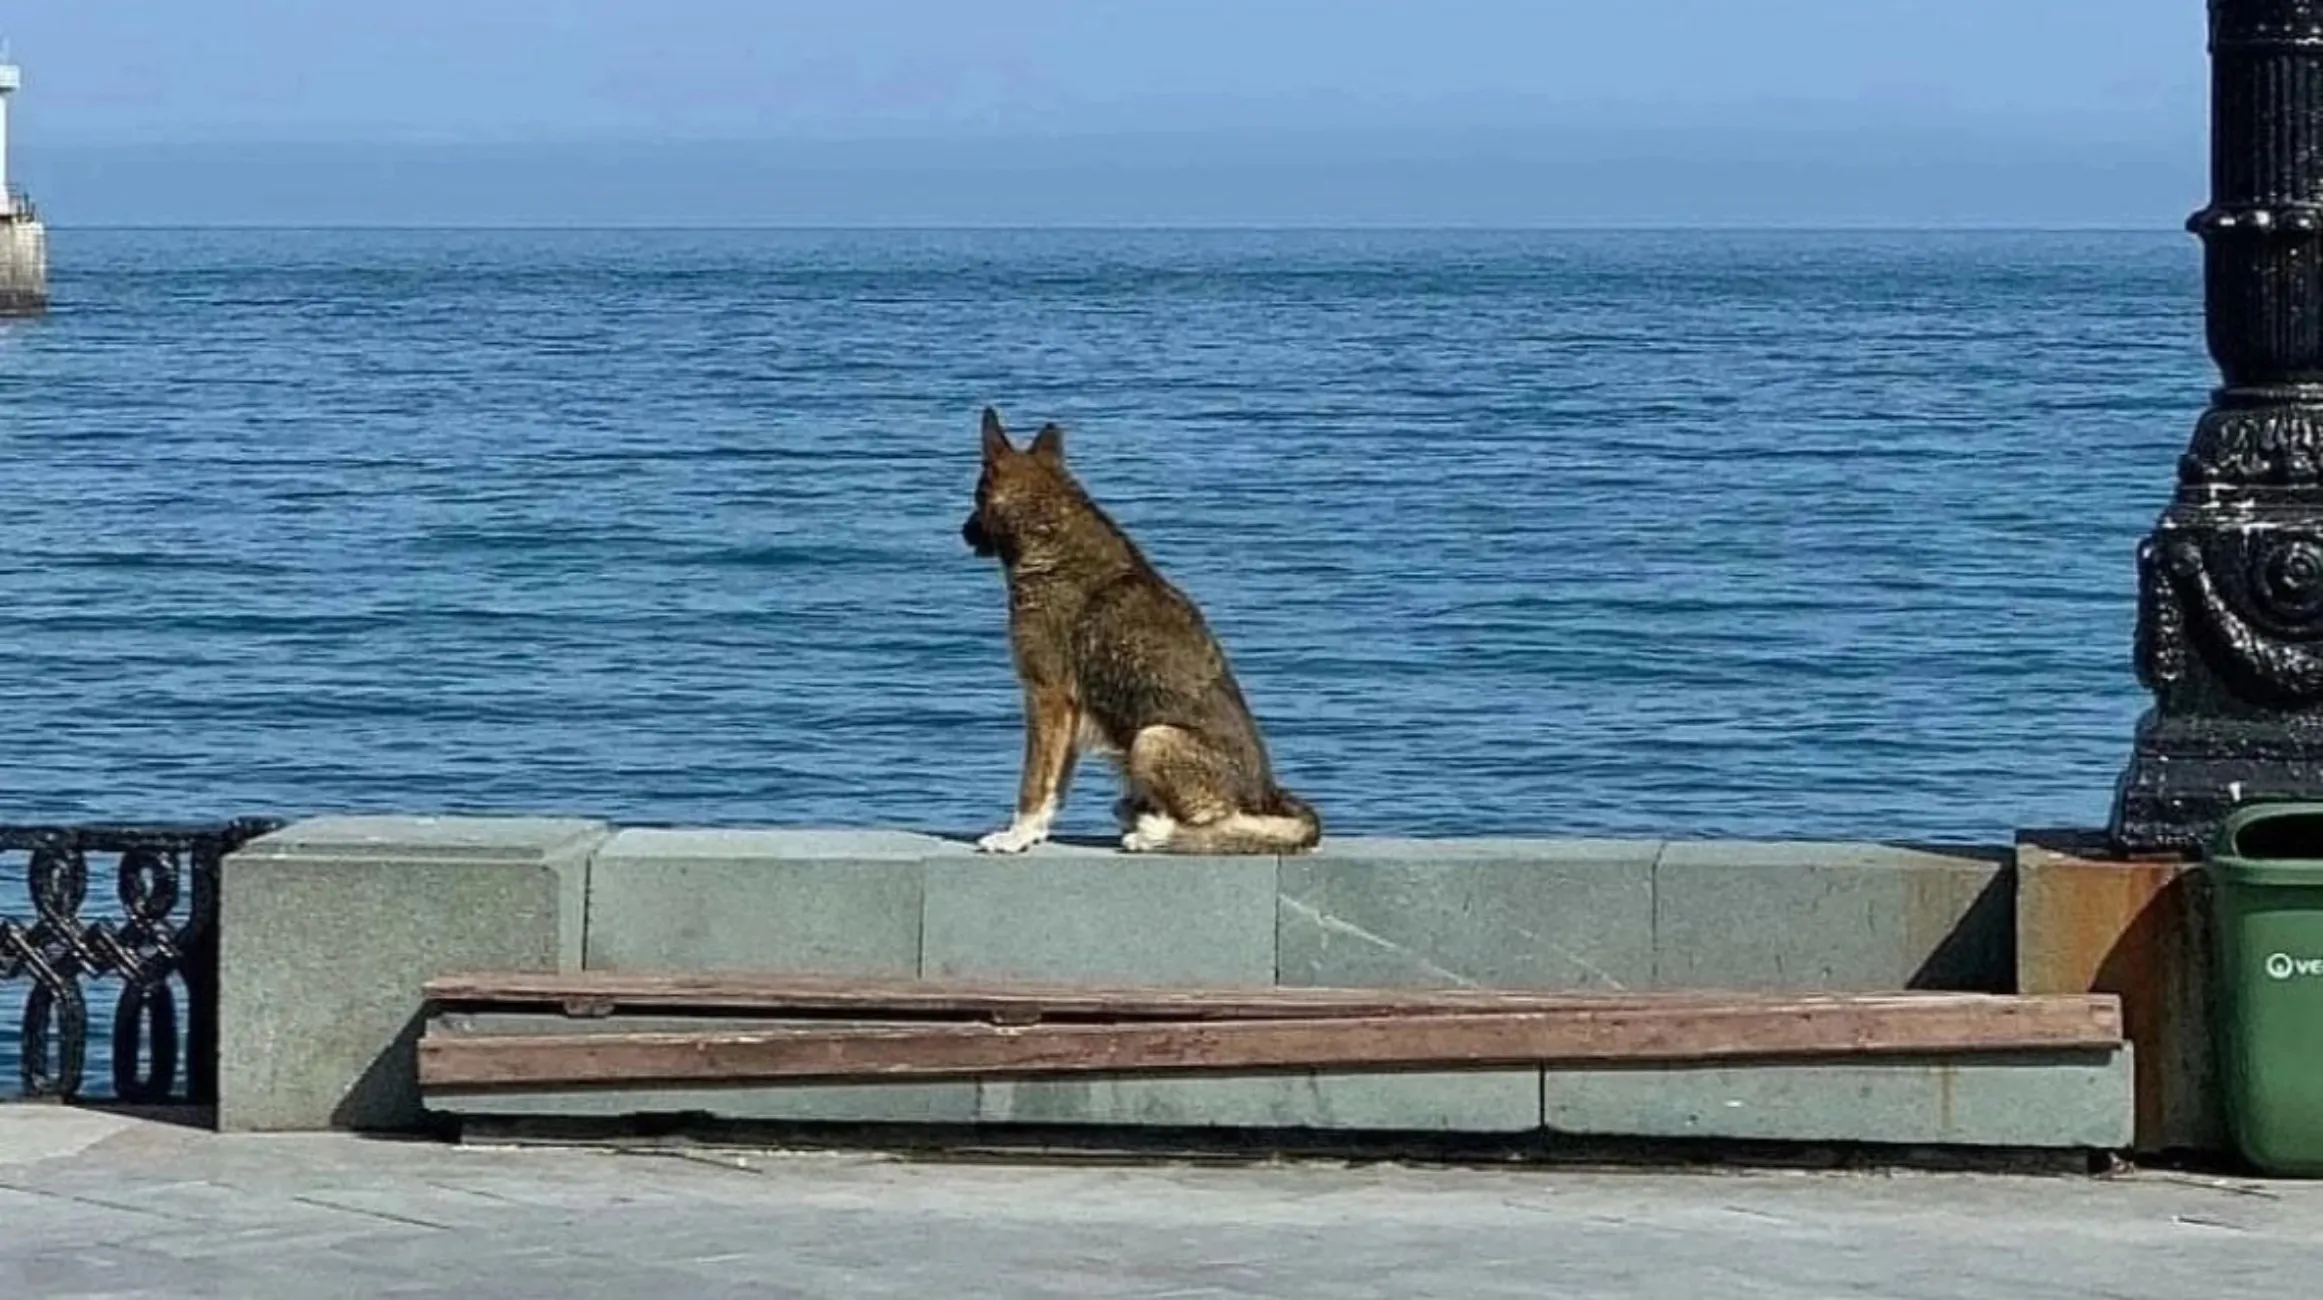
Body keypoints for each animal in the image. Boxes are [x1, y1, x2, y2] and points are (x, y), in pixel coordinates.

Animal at [961, 403, 1328, 854]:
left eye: (977, 498)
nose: (963, 532)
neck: (1048, 532)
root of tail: (1268, 795)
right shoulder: (1068, 710)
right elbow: (1055, 785)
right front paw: (1036, 832)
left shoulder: (1047, 695)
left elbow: (1034, 783)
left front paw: (1016, 835)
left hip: (1152, 739)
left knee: (1221, 826)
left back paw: (1153, 831)